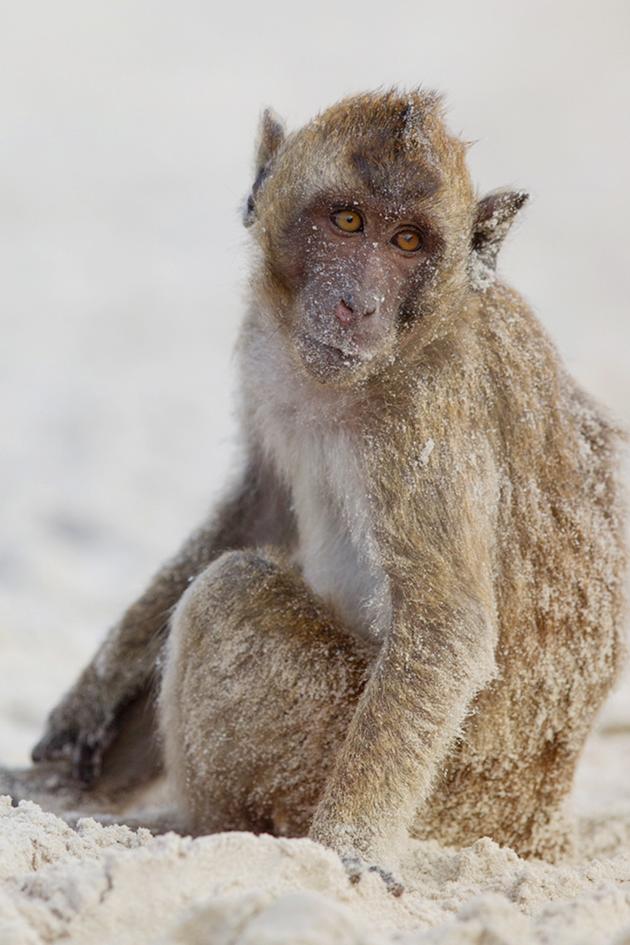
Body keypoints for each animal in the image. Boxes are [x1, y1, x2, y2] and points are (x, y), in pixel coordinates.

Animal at [13, 88, 625, 894]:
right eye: (348, 222)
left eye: (407, 242)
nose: (356, 304)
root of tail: (544, 821)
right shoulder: (269, 352)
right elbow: (262, 505)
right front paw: (96, 687)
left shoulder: (428, 415)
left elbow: (448, 627)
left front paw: (349, 849)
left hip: (424, 792)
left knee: (229, 594)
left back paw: (190, 828)